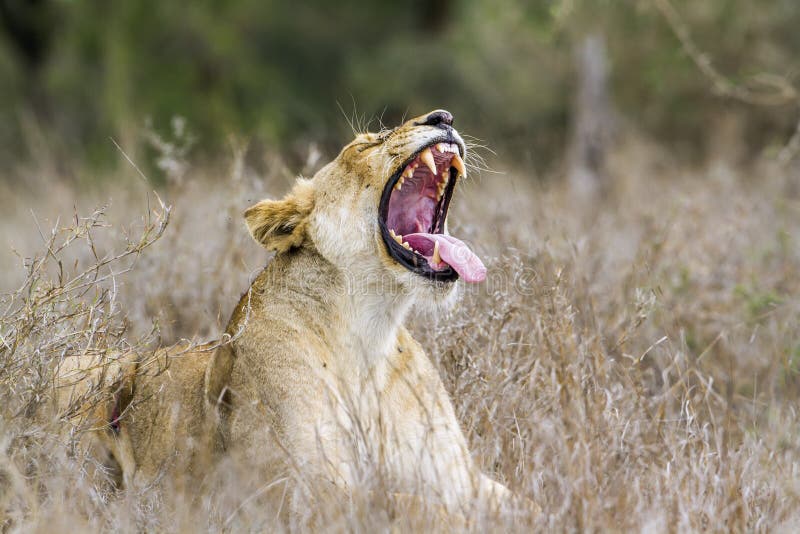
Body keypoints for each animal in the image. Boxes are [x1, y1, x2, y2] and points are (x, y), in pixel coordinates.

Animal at [54, 110, 532, 528]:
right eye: (365, 144)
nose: (443, 117)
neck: (369, 332)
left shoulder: (460, 479)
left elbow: (520, 502)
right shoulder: (304, 493)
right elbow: (412, 506)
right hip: (87, 369)